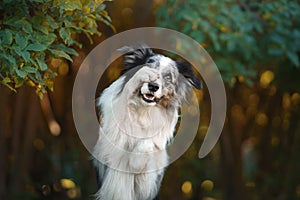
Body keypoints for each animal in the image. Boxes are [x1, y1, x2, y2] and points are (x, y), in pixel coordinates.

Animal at [93, 45, 202, 200]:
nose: (153, 86)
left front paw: (136, 160)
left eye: (168, 77)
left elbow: (148, 143)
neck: (143, 111)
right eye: (147, 68)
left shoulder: (148, 180)